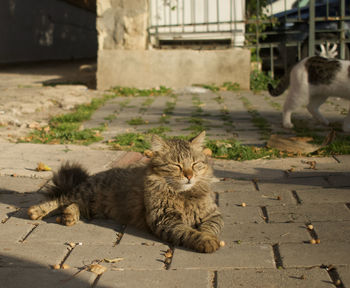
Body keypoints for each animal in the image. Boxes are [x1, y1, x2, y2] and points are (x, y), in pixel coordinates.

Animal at [28, 132, 224, 253]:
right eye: (177, 165)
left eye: (195, 164)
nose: (189, 176)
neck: (183, 195)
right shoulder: (165, 219)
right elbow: (189, 232)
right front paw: (205, 241)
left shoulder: (213, 214)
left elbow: (210, 228)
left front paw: (208, 237)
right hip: (85, 194)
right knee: (59, 200)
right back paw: (36, 211)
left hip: (92, 207)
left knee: (71, 205)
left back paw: (70, 216)